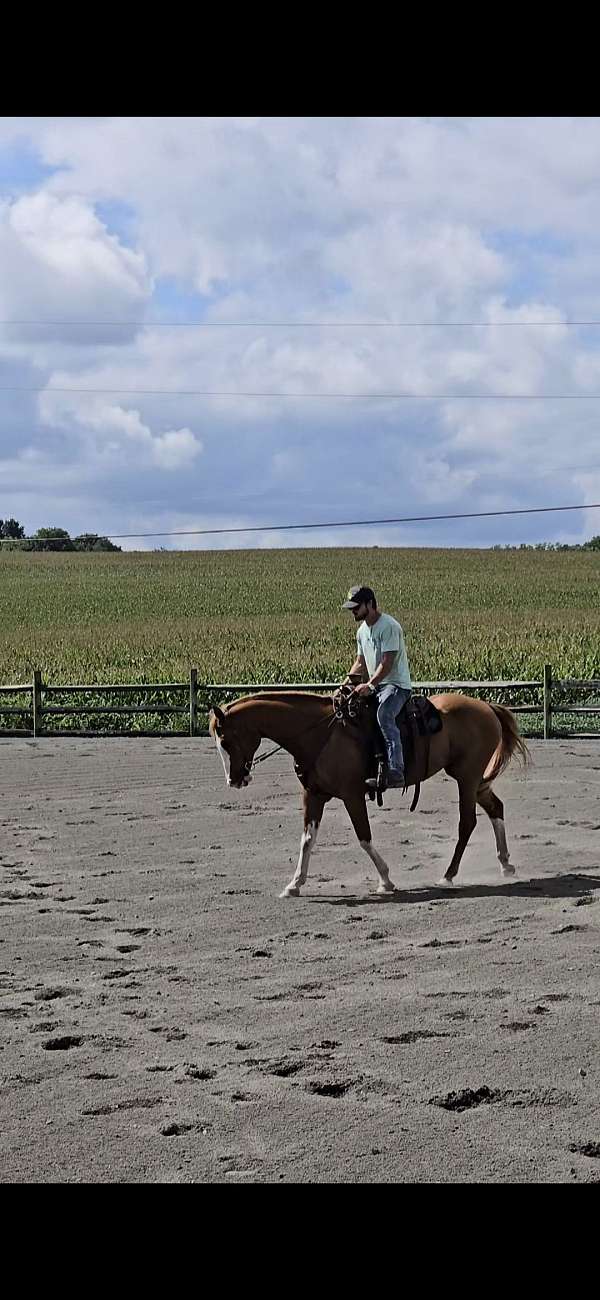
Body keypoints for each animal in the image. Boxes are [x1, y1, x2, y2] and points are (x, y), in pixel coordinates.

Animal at [209, 696, 527, 899]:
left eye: (225, 740)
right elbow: (307, 840)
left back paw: (449, 874)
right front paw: (294, 884)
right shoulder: (313, 795)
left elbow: (363, 837)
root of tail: (486, 706)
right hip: (474, 781)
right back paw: (505, 864)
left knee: (467, 822)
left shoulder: (352, 795)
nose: (234, 781)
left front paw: (385, 880)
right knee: (495, 808)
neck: (319, 735)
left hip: (467, 777)